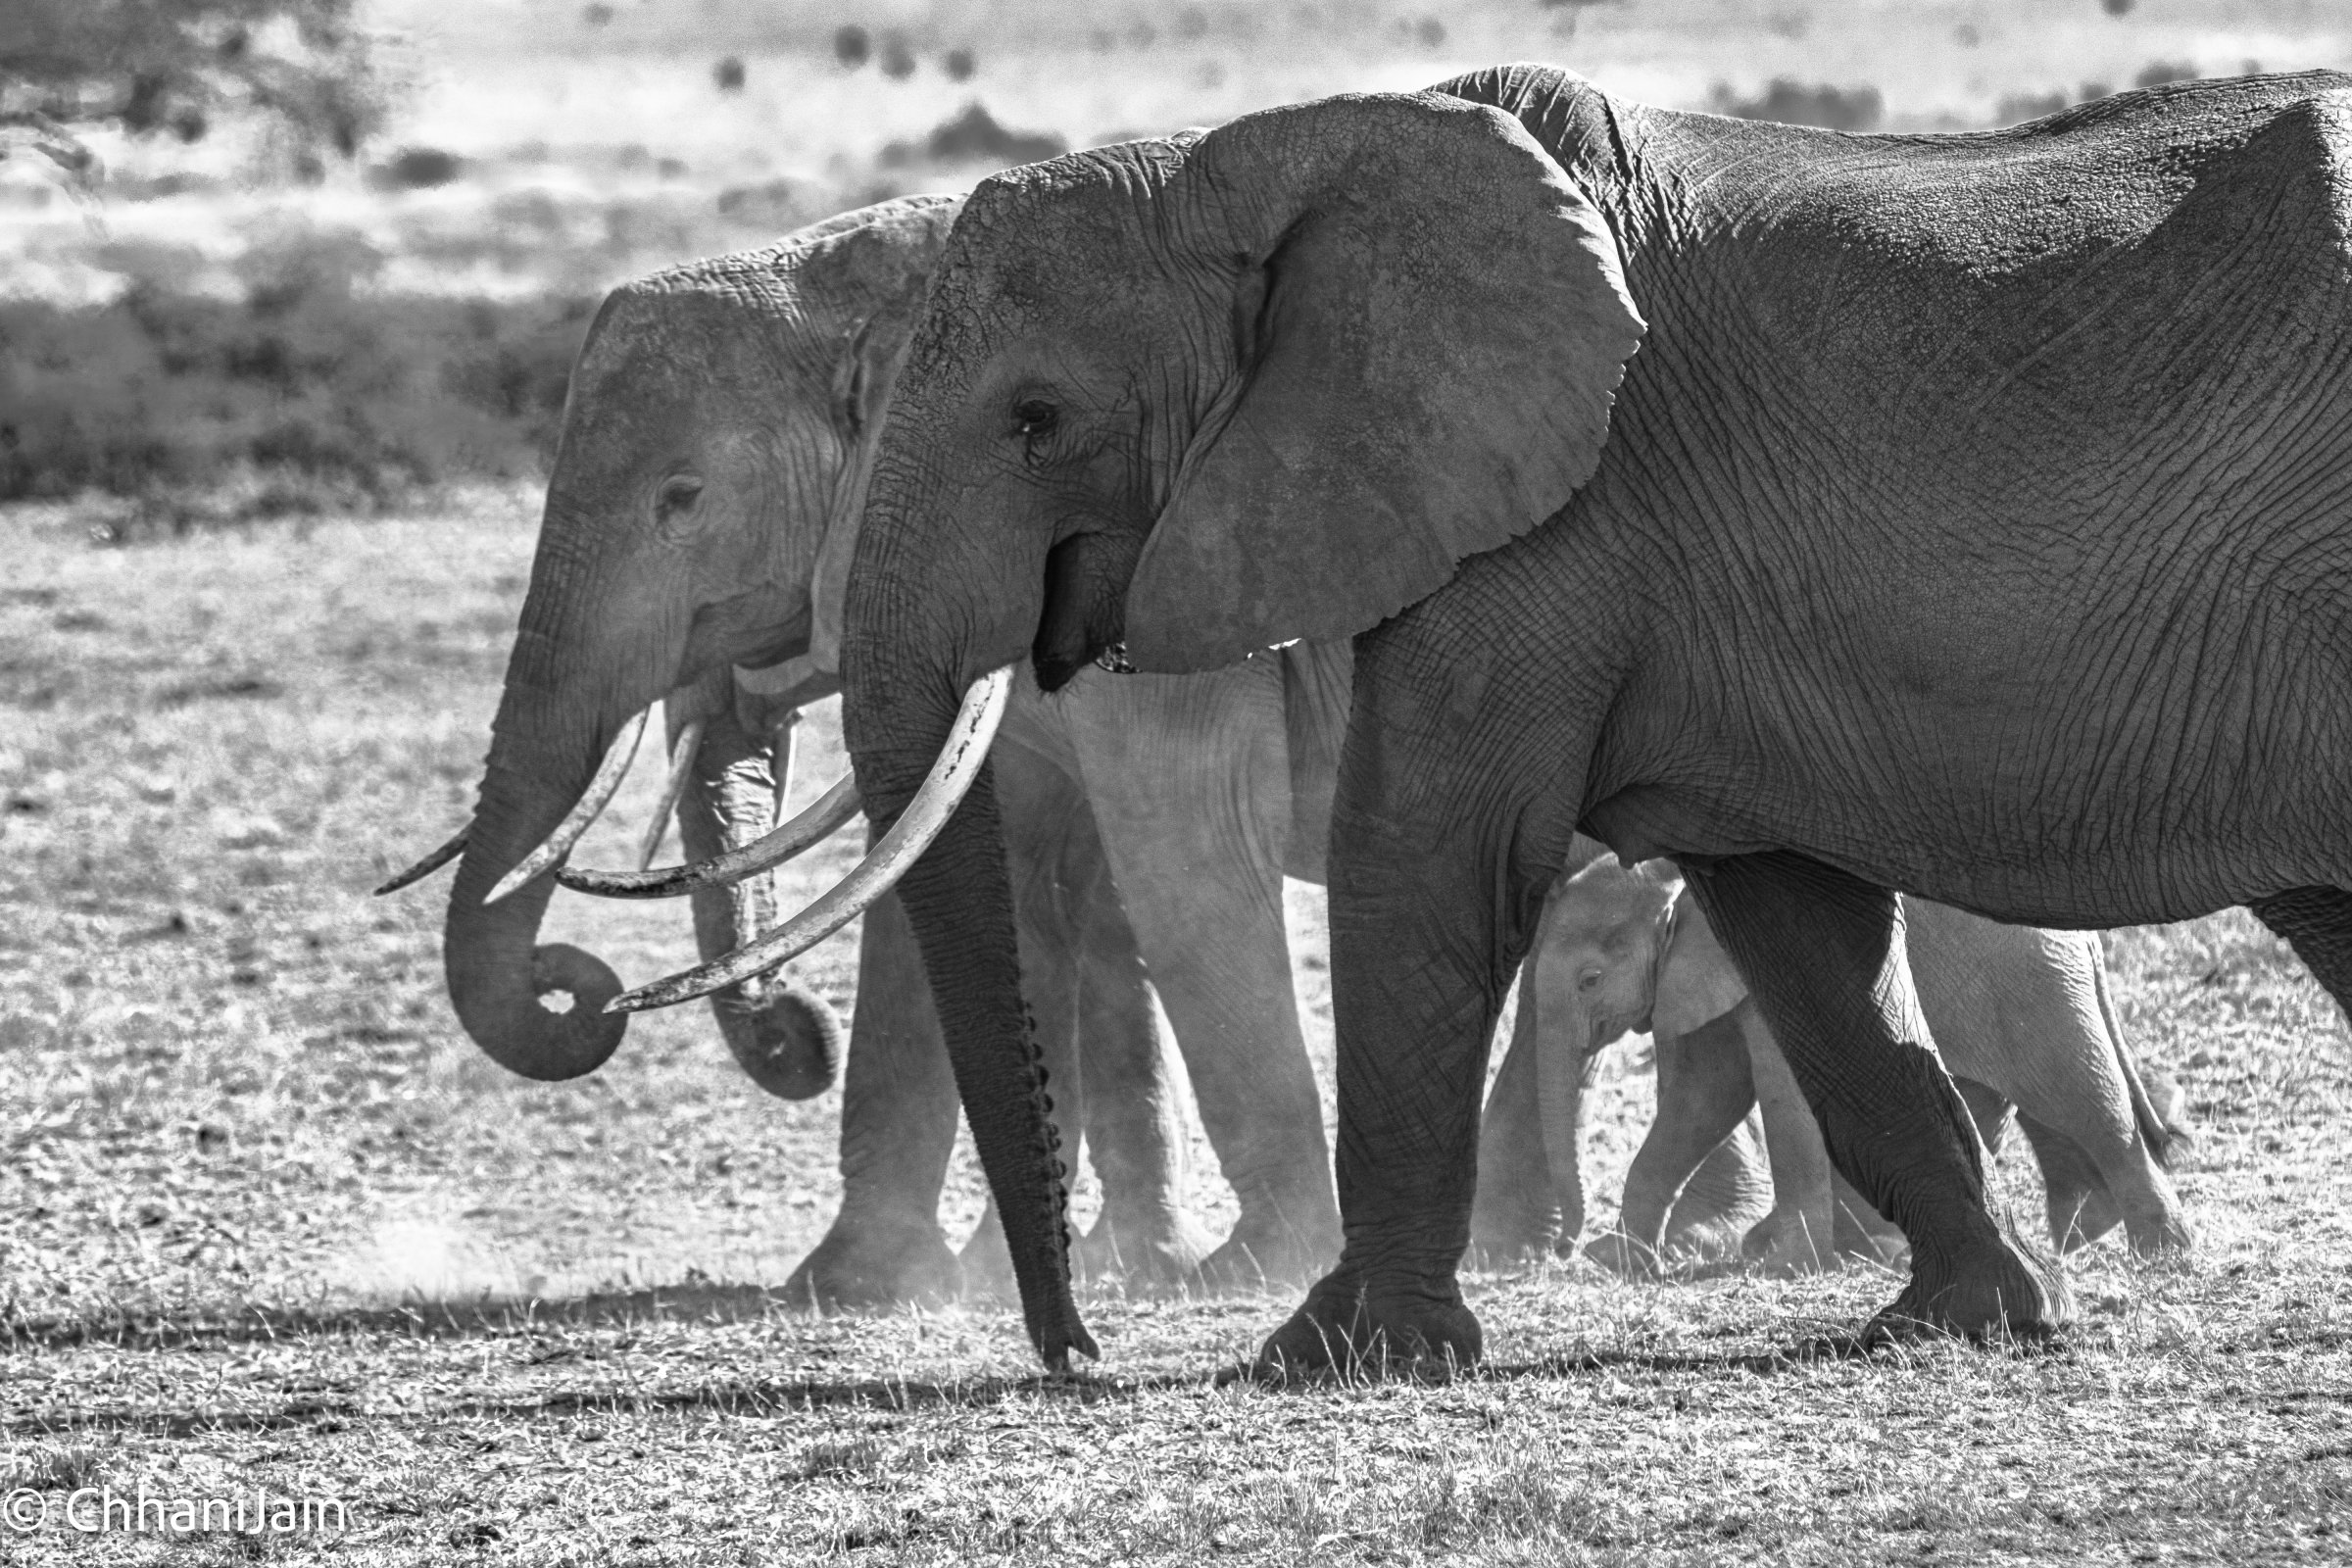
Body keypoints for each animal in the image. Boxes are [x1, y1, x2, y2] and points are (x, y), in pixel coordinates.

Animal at [383, 195, 1344, 1305]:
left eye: (682, 499)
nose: (800, 1033)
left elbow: (1176, 846)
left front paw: (1241, 1267)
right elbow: (1002, 877)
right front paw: (898, 1279)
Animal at [1482, 849, 2192, 1277]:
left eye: (1590, 981)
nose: (1564, 1250)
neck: (1673, 877)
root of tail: (2086, 941)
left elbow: (1773, 1090)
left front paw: (1782, 1263)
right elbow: (1704, 1095)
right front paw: (1619, 1260)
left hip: (2030, 982)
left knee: (2086, 1101)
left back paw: (2160, 1255)